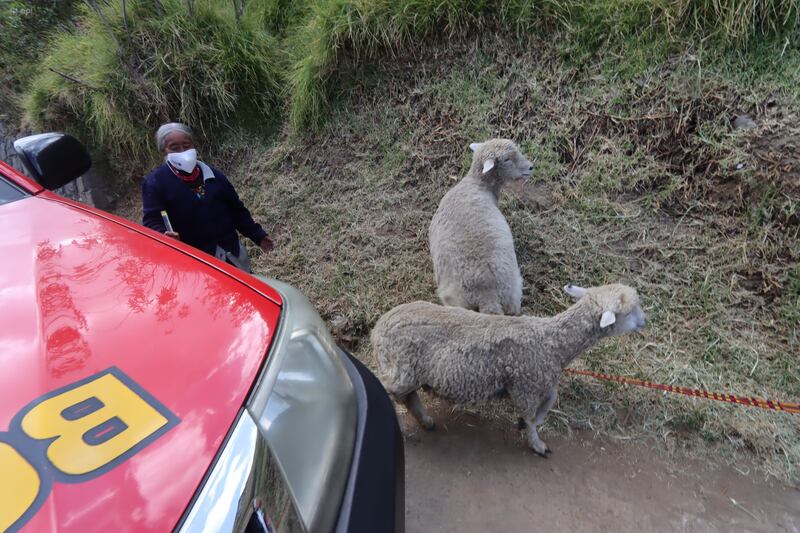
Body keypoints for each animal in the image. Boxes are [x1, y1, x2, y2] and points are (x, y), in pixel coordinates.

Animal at [372, 282, 648, 454]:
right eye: (629, 311)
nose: (645, 322)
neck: (553, 342)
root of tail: (377, 330)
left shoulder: (539, 379)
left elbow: (551, 398)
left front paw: (530, 423)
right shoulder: (525, 385)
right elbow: (531, 415)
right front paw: (537, 442)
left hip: (410, 372)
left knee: (408, 396)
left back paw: (426, 420)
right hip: (401, 367)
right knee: (391, 390)